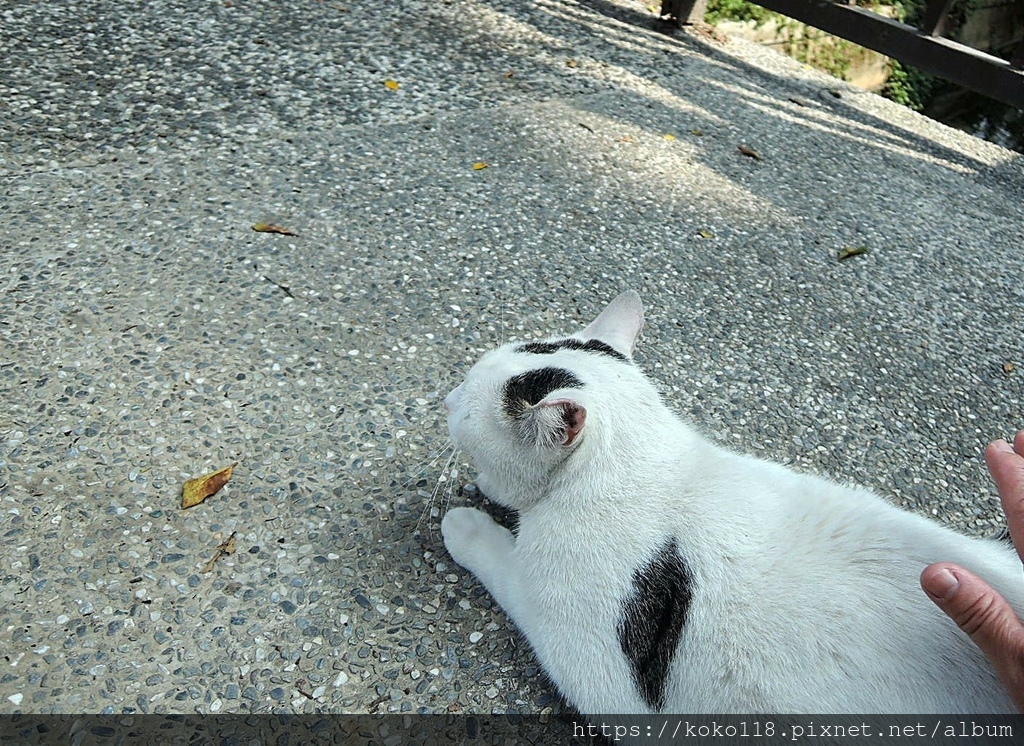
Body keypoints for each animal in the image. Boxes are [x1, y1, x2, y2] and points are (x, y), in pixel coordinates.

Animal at [440, 288, 1024, 712]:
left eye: (463, 400)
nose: (445, 398)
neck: (646, 467)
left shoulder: (597, 670)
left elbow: (507, 571)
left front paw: (466, 525)